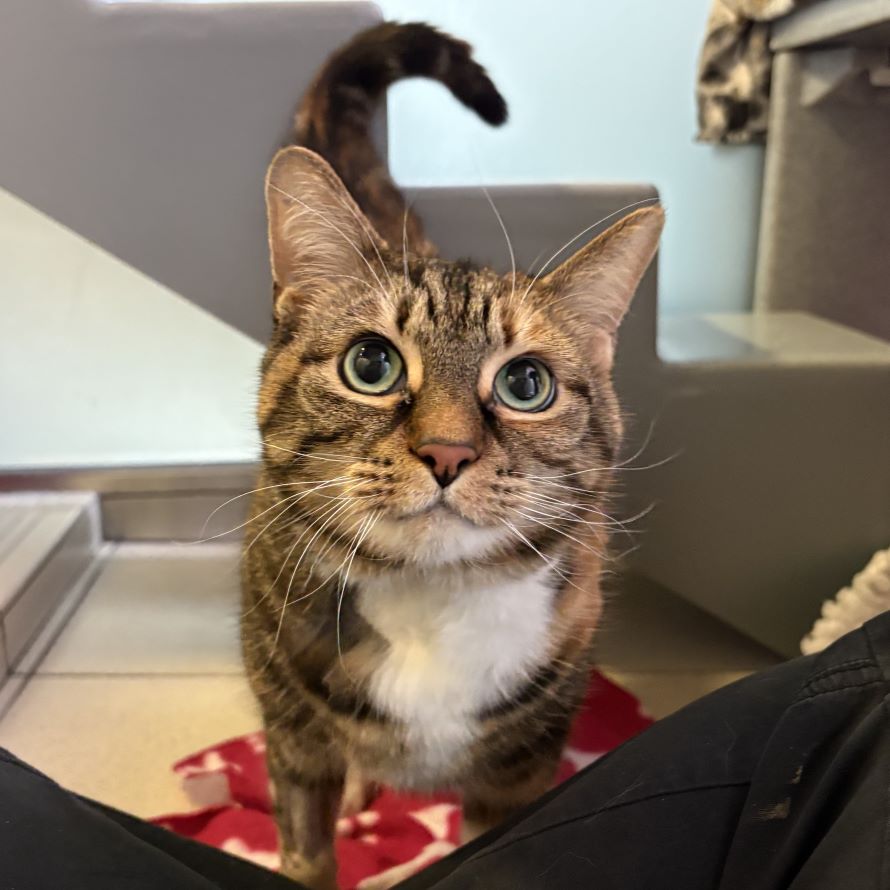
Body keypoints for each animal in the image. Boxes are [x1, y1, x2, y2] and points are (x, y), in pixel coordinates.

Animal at [241, 21, 664, 890]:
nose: (446, 451)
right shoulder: (293, 740)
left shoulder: (519, 773)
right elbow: (306, 848)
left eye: (527, 383)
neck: (429, 604)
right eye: (370, 364)